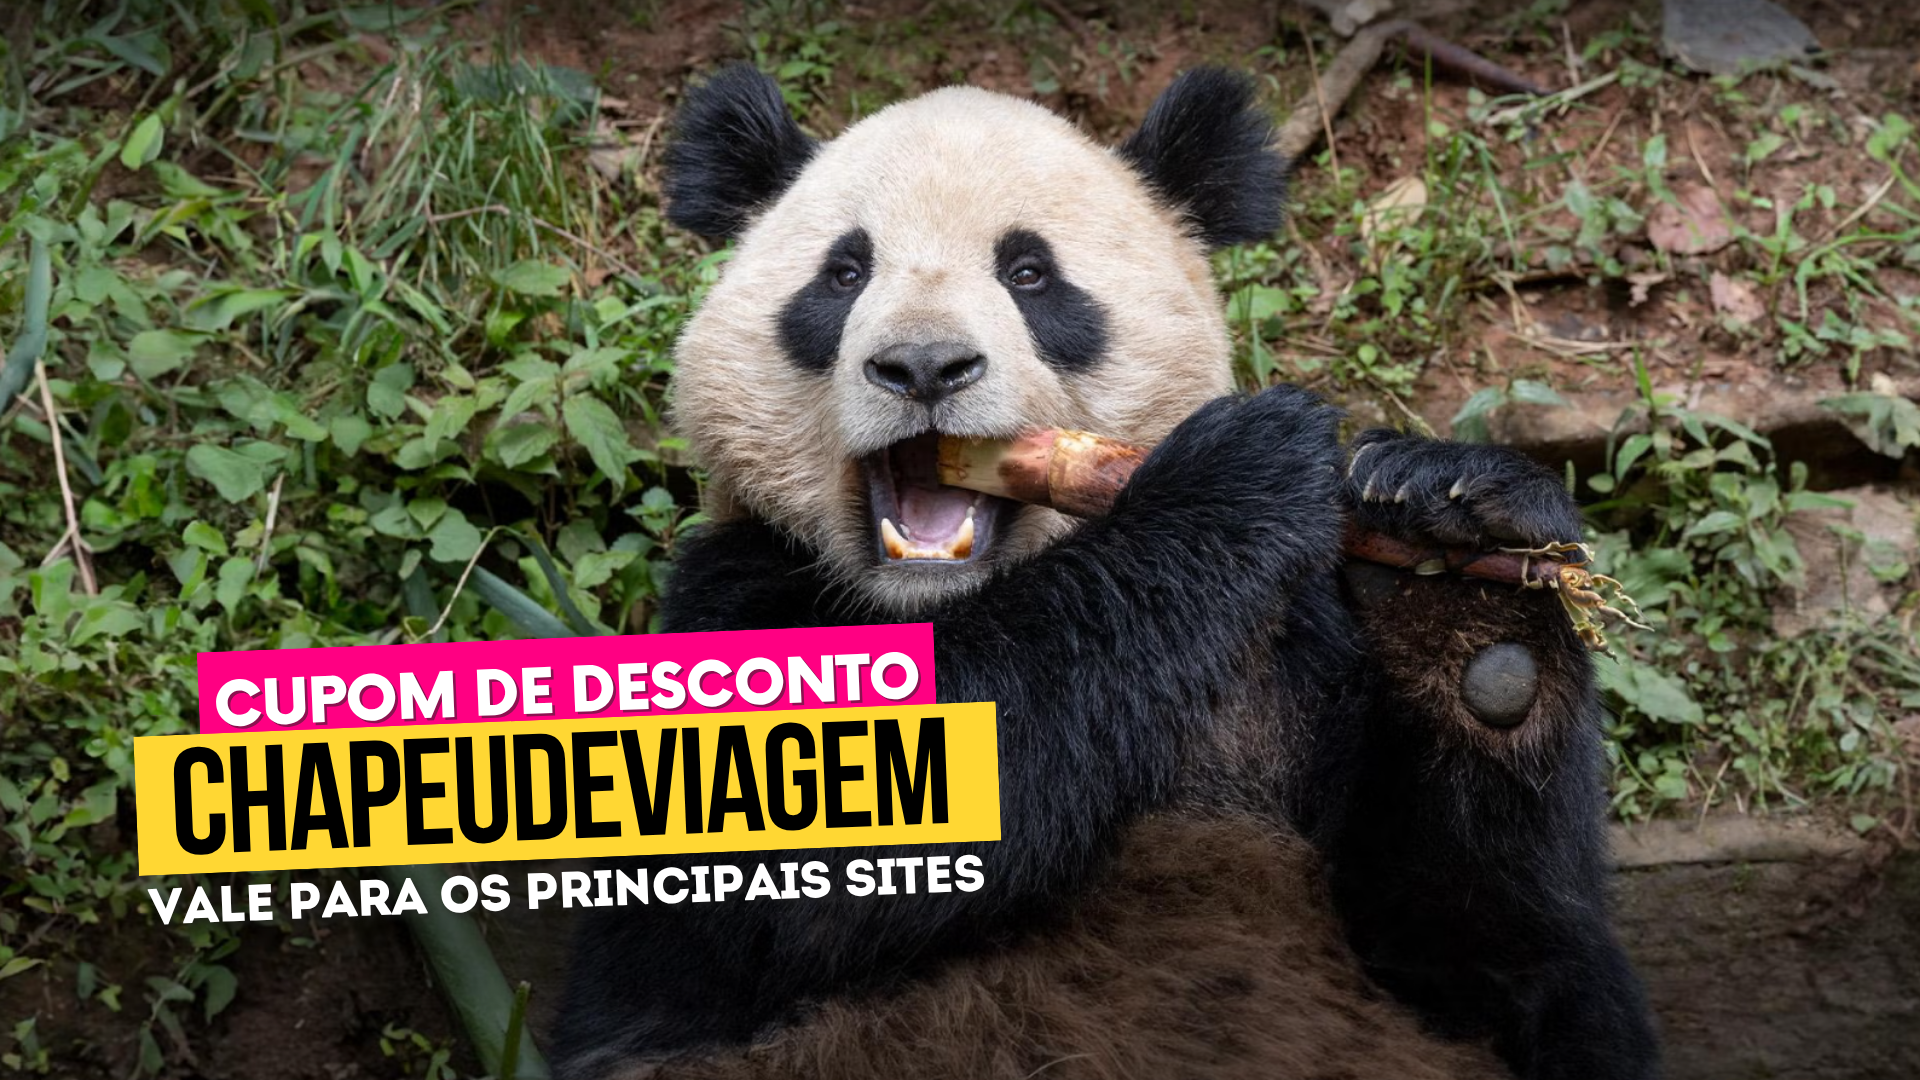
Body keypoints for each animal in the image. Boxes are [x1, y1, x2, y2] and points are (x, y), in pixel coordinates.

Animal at [551, 65, 1662, 1080]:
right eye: (843, 274)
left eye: (1031, 275)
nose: (922, 368)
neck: (942, 607)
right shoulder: (732, 596)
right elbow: (795, 860)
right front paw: (1236, 472)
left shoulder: (1299, 660)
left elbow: (1494, 956)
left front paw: (1455, 552)